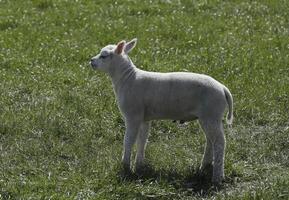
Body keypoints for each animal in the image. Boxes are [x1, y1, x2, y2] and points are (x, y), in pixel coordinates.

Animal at [89, 38, 233, 184]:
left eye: (104, 56)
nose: (91, 61)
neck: (127, 78)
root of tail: (223, 88)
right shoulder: (143, 118)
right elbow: (142, 141)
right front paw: (139, 166)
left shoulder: (132, 115)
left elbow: (128, 141)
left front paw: (125, 166)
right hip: (208, 117)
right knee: (210, 141)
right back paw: (204, 166)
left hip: (211, 114)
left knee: (219, 143)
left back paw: (217, 177)